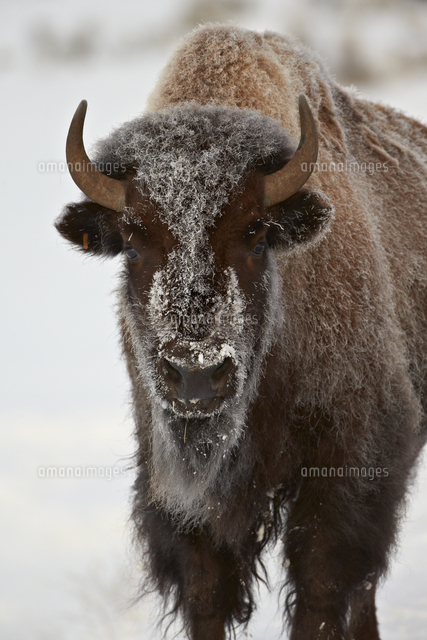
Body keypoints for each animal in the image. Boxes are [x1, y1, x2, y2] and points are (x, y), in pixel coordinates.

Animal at [55, 24, 427, 640]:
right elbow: (207, 593)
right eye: (132, 240)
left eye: (255, 232)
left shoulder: (352, 463)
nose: (196, 375)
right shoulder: (179, 493)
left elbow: (323, 589)